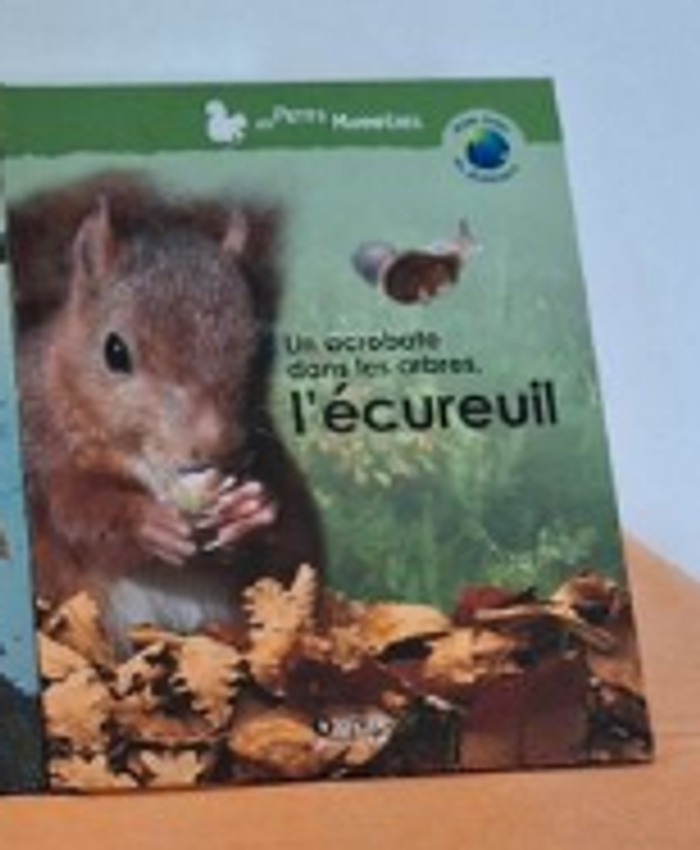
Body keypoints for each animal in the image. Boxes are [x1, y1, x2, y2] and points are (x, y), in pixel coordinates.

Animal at [8, 174, 324, 648]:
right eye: (115, 352)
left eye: (262, 348)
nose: (216, 445)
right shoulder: (43, 446)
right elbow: (74, 509)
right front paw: (147, 523)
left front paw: (251, 510)